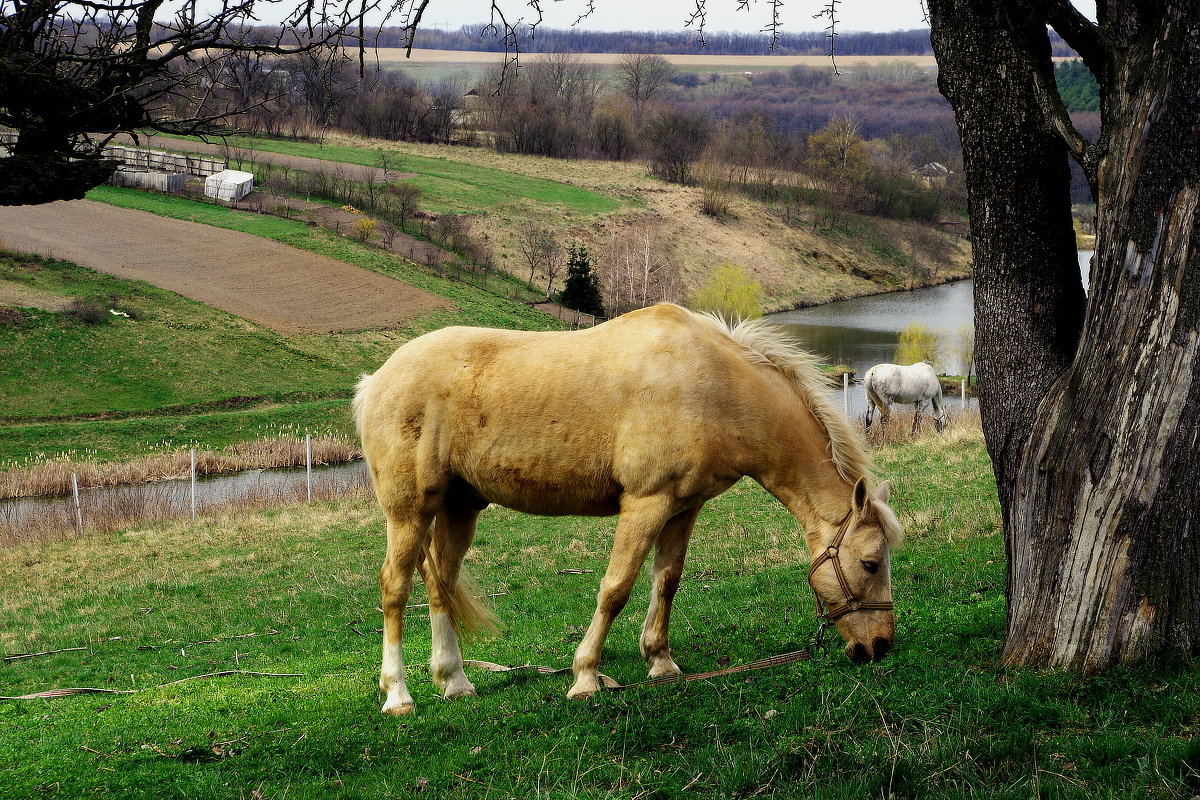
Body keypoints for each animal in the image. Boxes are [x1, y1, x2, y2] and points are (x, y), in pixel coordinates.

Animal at [352, 303, 902, 714]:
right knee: (395, 587)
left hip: (459, 507)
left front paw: (660, 662)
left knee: (440, 582)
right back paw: (398, 694)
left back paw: (455, 681)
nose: (879, 648)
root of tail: (375, 380)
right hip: (409, 511)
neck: (713, 386)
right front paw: (585, 677)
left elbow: (667, 581)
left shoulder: (683, 508)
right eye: (870, 563)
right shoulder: (645, 504)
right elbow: (616, 588)